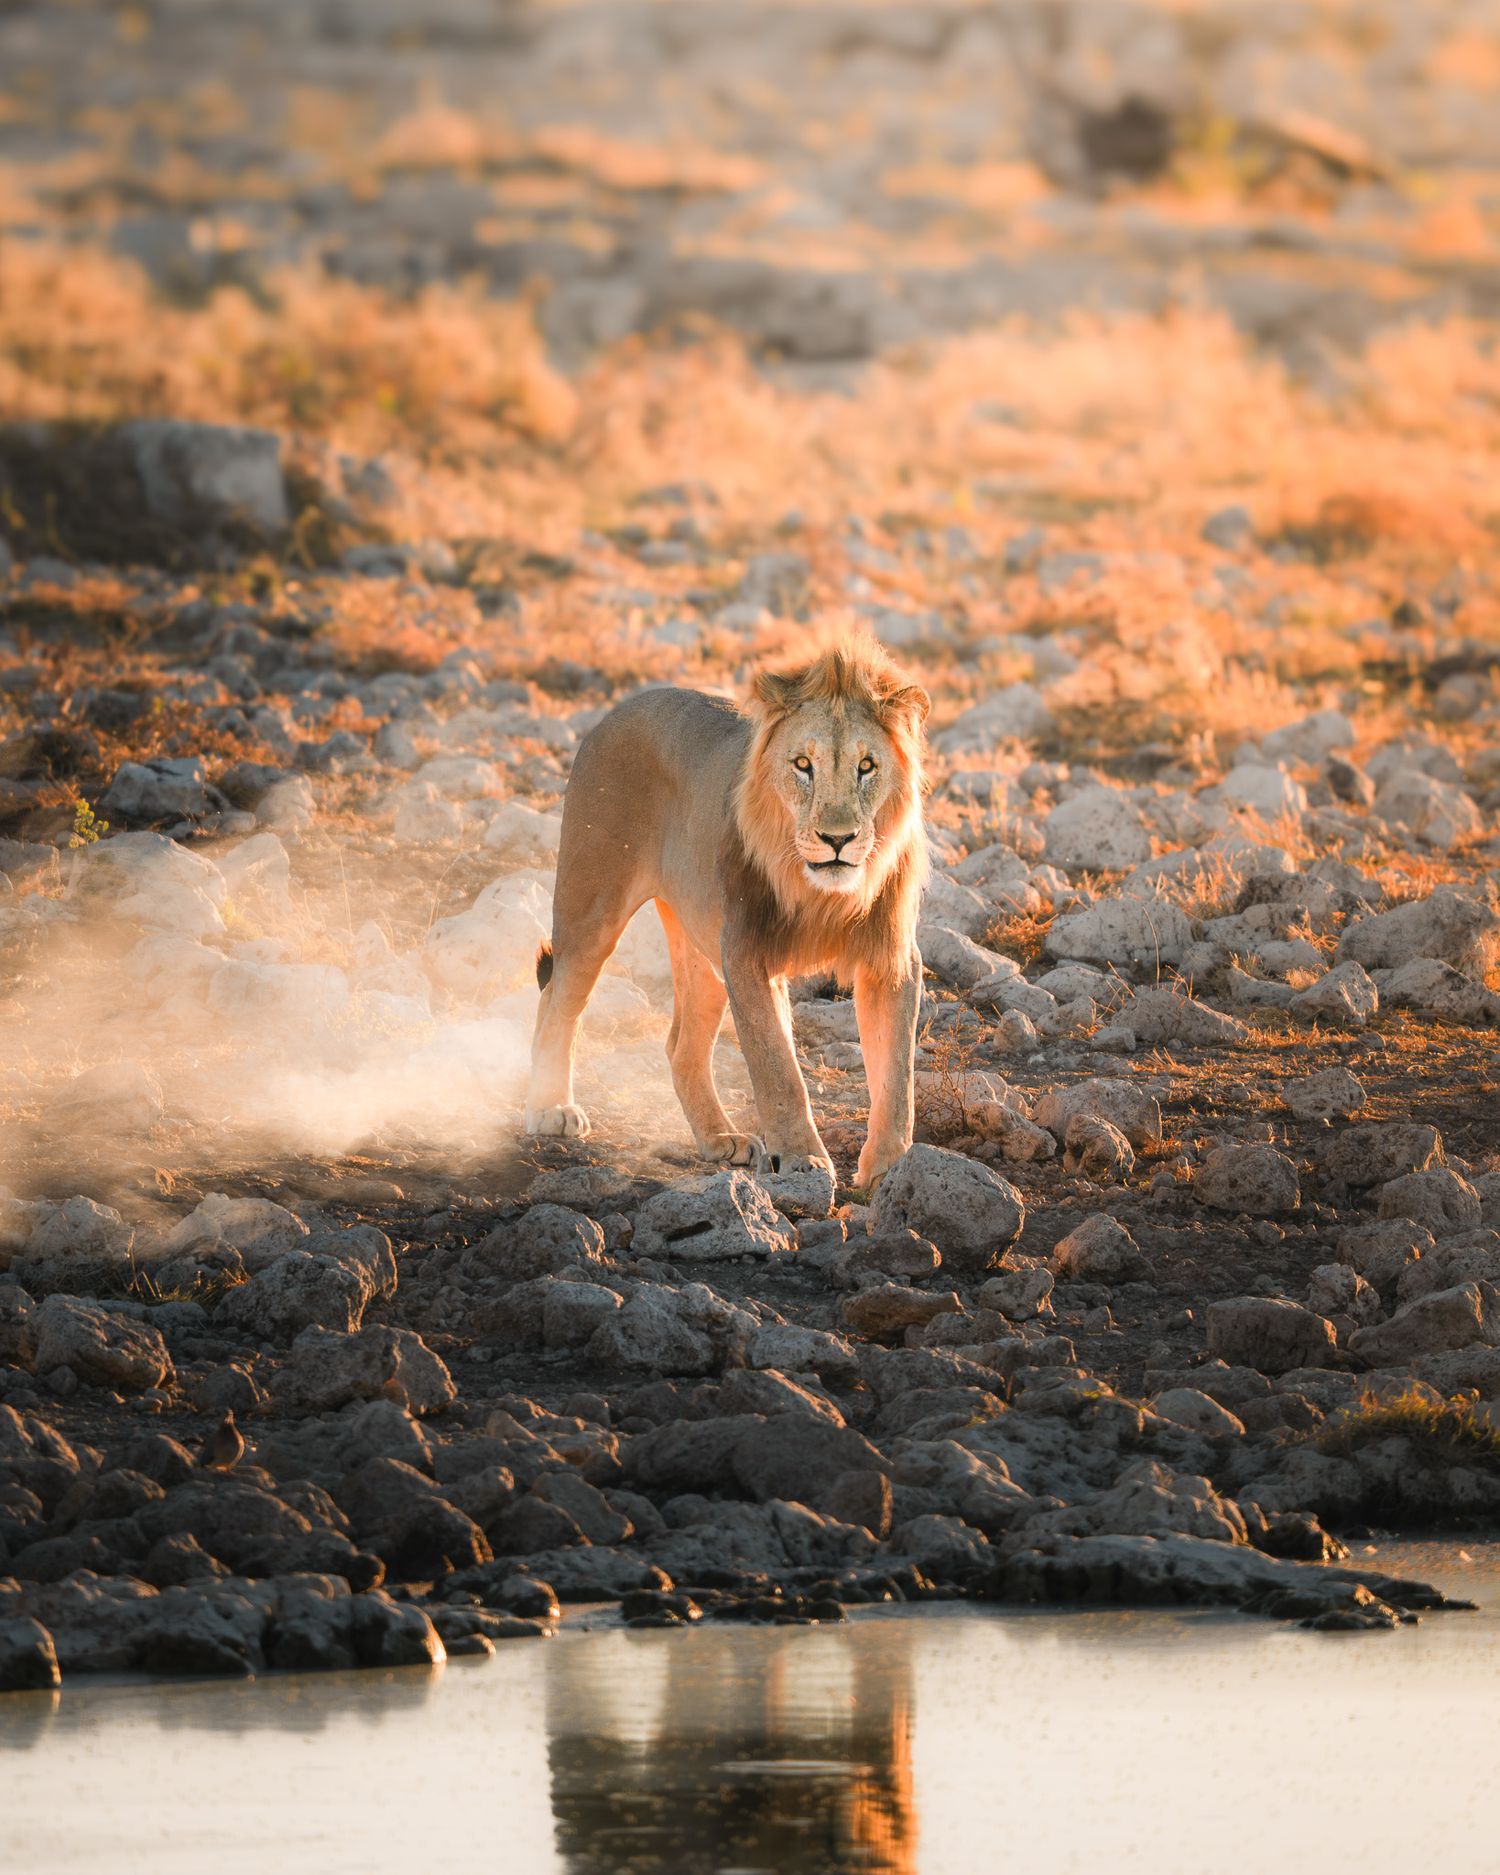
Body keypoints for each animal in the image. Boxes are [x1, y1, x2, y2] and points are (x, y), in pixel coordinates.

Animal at [523, 633, 931, 1190]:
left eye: (866, 766)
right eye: (802, 765)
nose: (838, 839)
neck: (822, 895)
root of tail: (619, 709)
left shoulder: (890, 960)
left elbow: (897, 1076)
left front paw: (890, 1168)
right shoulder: (746, 952)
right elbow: (777, 1066)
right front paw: (802, 1159)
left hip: (701, 947)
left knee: (681, 1049)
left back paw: (722, 1139)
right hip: (593, 908)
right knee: (558, 1000)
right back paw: (550, 1108)